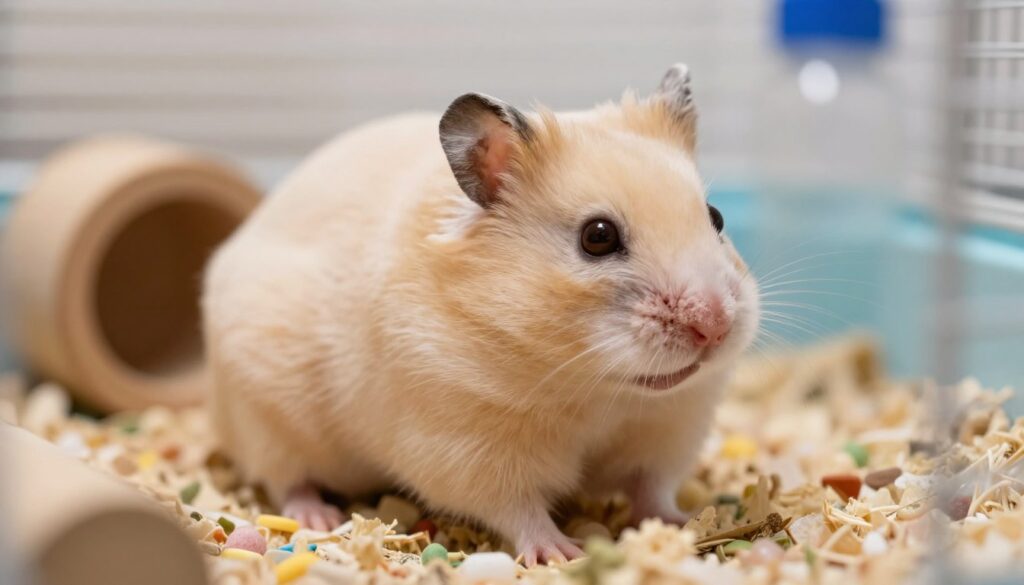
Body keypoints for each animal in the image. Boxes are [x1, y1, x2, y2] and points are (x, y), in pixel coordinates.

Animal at [202, 64, 760, 565]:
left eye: (716, 218)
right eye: (598, 236)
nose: (714, 325)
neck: (599, 391)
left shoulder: (669, 427)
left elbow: (652, 487)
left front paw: (680, 524)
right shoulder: (467, 448)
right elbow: (518, 508)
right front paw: (561, 554)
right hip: (266, 419)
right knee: (286, 478)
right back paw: (316, 516)